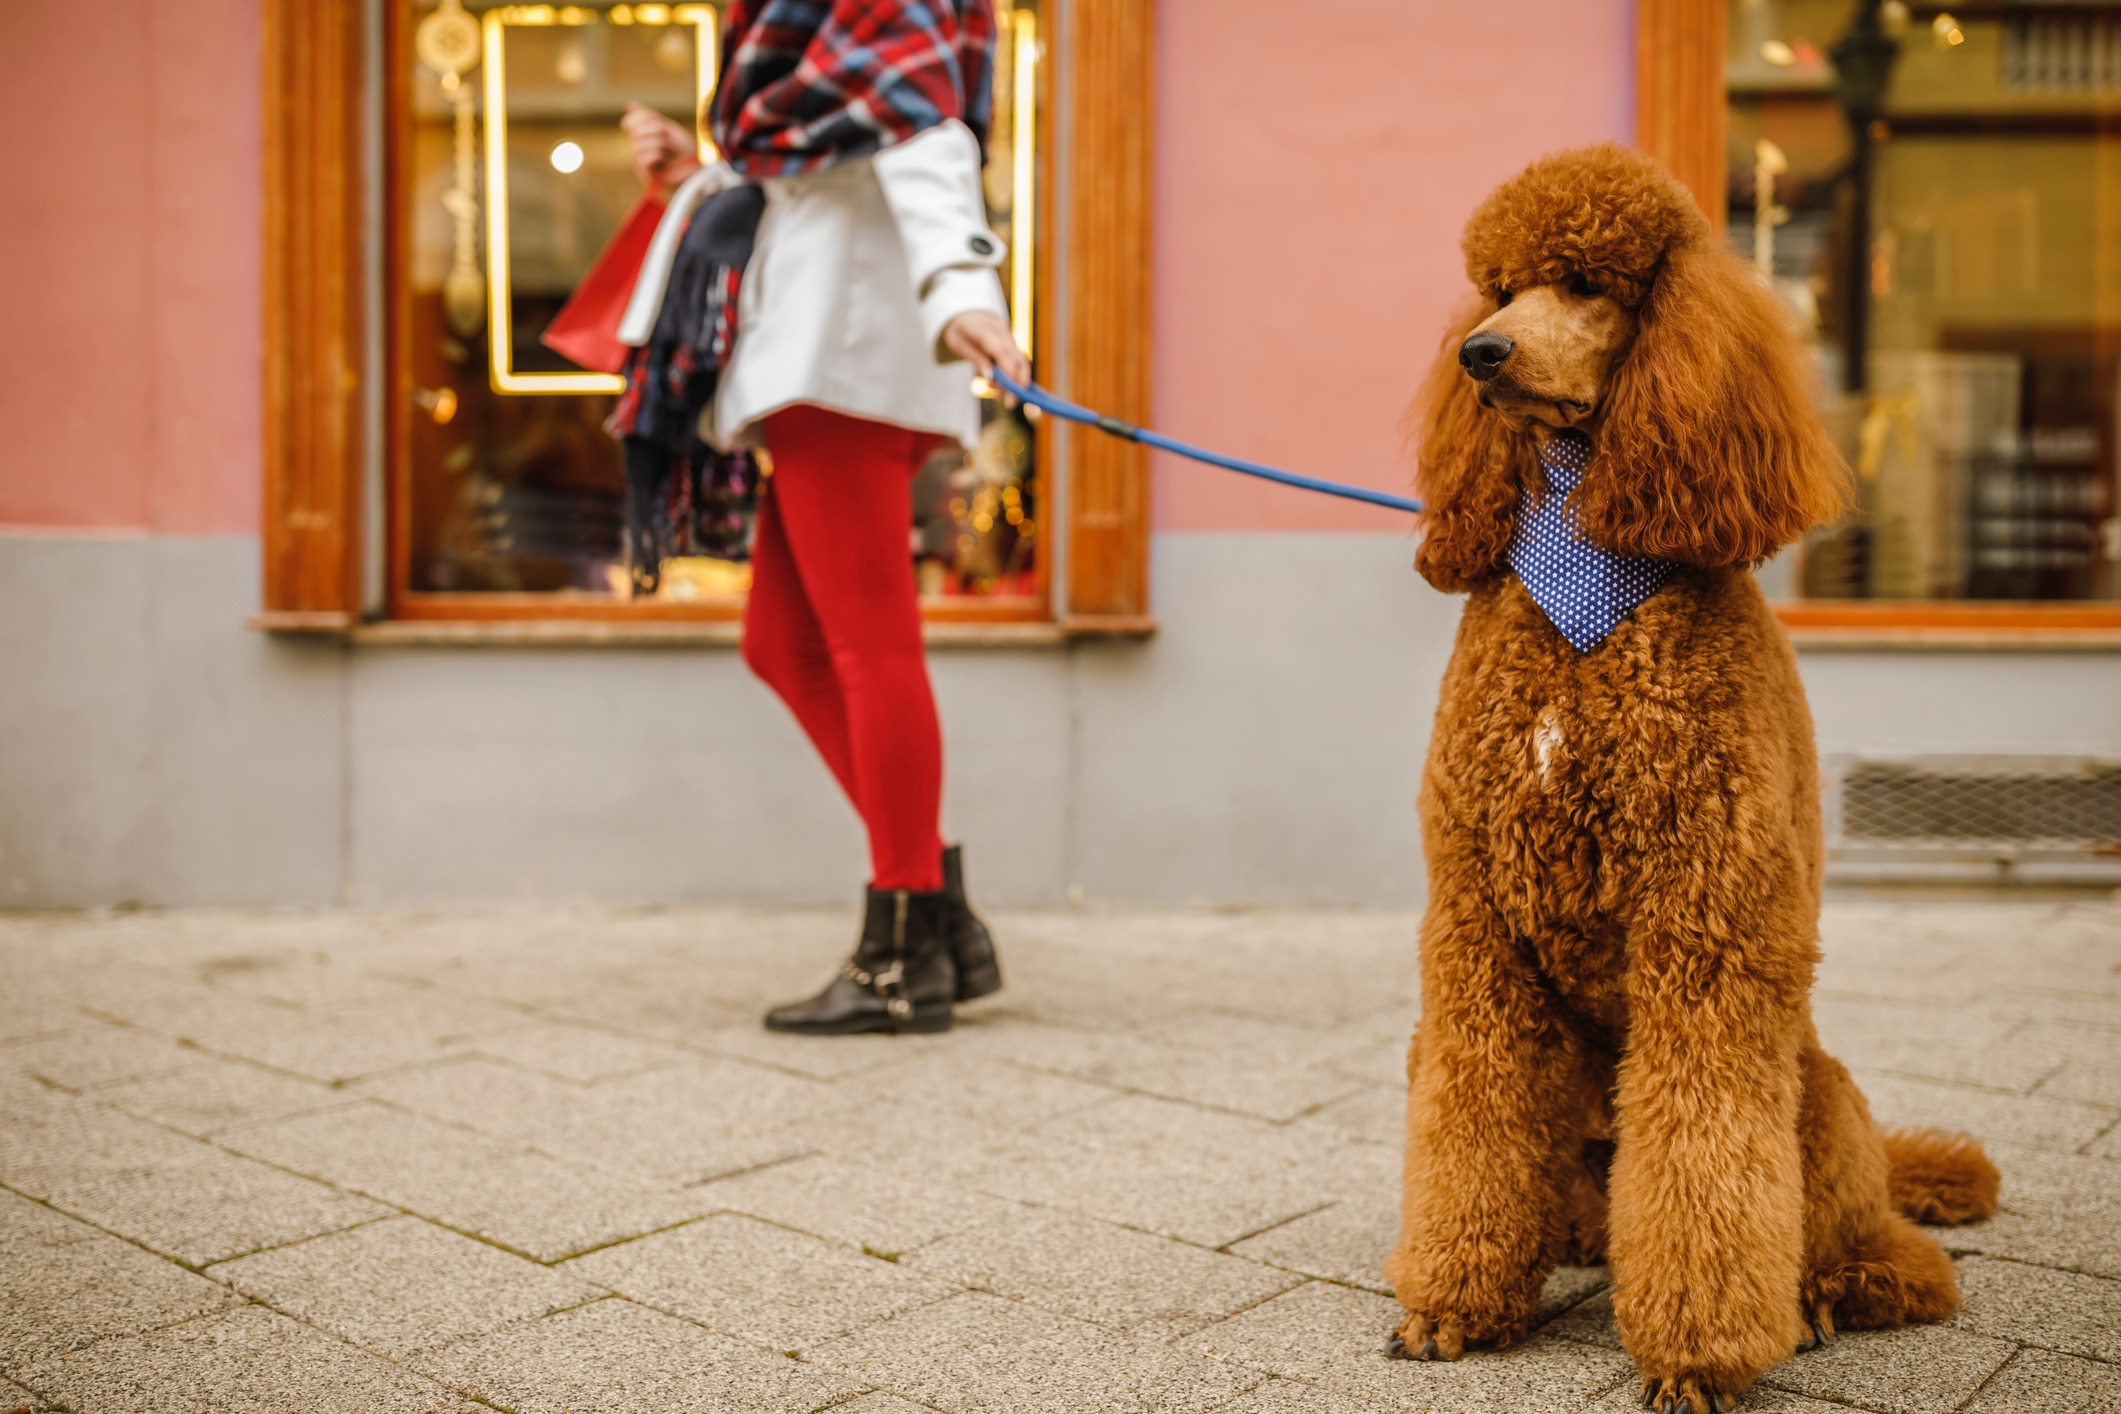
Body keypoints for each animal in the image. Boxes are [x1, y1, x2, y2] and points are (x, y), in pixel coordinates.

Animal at [1382, 146, 1993, 1414]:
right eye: (1495, 289)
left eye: (1585, 282)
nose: (1482, 355)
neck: (1586, 574)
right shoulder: (1476, 928)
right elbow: (1471, 1121)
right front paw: (1455, 1300)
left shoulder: (1706, 929)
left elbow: (1704, 1159)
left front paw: (1697, 1356)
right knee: (1570, 1194)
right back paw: (1570, 1241)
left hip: (1815, 1088)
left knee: (1892, 1258)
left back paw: (1820, 1300)